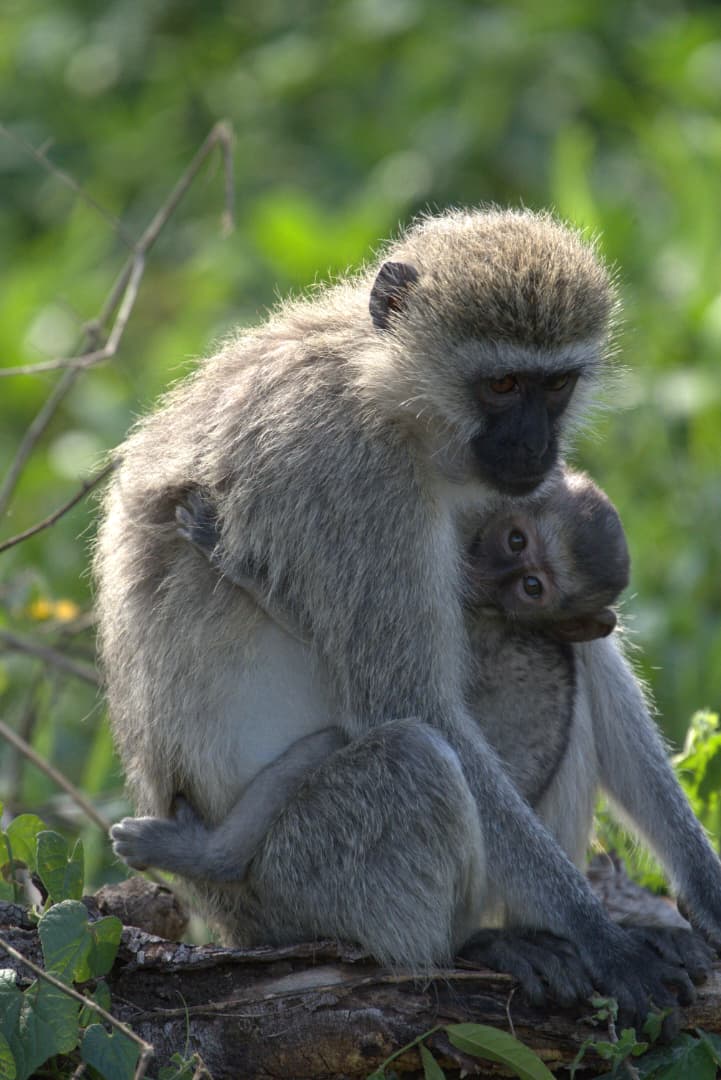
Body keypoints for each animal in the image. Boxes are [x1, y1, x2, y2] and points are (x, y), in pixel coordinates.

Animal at [96, 208, 721, 1025]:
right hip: (295, 890)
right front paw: (604, 941)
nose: (535, 446)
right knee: (415, 757)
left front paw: (704, 887)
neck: (388, 393)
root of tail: (228, 919)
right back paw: (474, 945)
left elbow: (581, 646)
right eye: (501, 383)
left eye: (555, 385)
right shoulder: (356, 483)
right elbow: (410, 700)